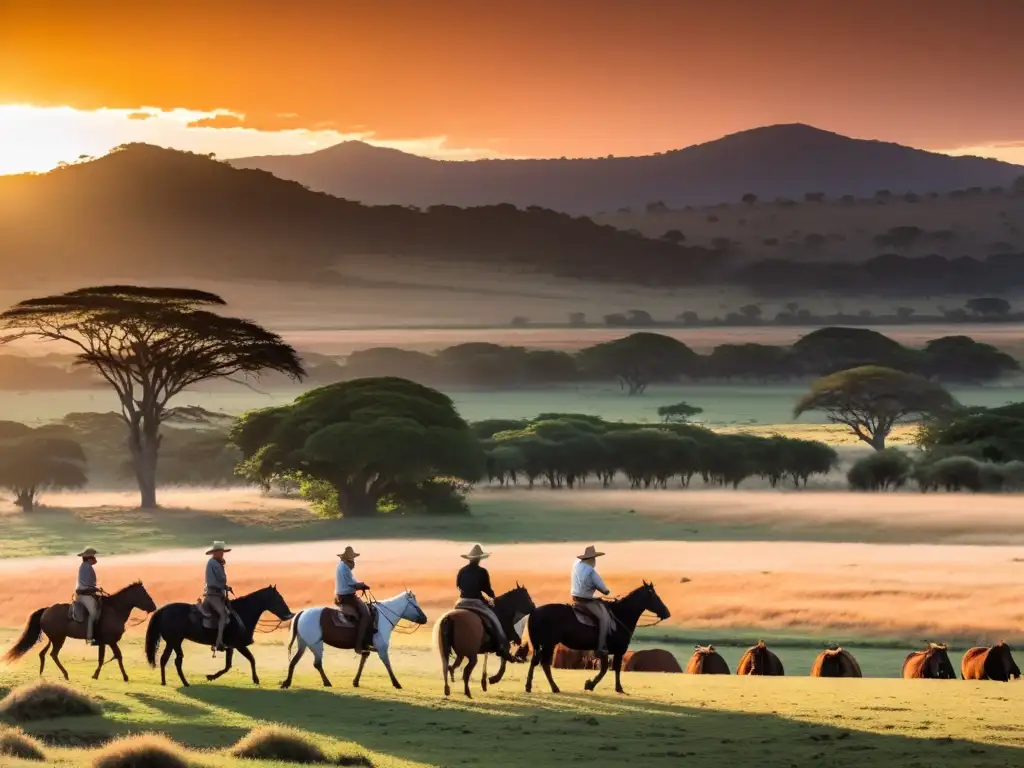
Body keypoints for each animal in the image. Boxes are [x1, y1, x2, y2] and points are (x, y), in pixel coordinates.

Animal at [3, 581, 156, 684]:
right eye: (144, 594)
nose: (154, 607)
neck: (115, 610)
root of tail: (46, 610)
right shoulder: (110, 641)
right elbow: (117, 656)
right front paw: (124, 677)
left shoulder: (104, 642)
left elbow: (103, 658)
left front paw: (96, 674)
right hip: (58, 639)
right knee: (53, 654)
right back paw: (65, 674)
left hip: (53, 639)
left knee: (43, 654)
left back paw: (42, 673)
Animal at [142, 585, 292, 688]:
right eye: (279, 598)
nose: (289, 614)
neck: (242, 613)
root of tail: (162, 611)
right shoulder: (238, 645)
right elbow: (249, 660)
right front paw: (255, 679)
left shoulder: (231, 646)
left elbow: (231, 665)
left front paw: (211, 676)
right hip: (176, 641)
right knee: (177, 661)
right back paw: (185, 683)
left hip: (172, 642)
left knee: (163, 659)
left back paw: (164, 682)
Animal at [278, 589, 425, 692]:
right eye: (415, 605)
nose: (425, 618)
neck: (382, 617)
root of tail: (302, 613)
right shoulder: (382, 648)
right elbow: (387, 664)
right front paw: (396, 684)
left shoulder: (367, 648)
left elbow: (363, 660)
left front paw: (355, 682)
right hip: (316, 644)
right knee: (317, 664)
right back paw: (327, 682)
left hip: (303, 643)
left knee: (294, 661)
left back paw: (287, 682)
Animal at [524, 581, 667, 696]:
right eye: (655, 596)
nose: (667, 613)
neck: (620, 614)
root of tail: (534, 611)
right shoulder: (614, 651)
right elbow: (608, 669)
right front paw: (595, 685)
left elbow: (610, 669)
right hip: (548, 644)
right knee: (544, 663)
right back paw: (554, 688)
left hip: (543, 644)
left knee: (536, 661)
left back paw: (530, 687)